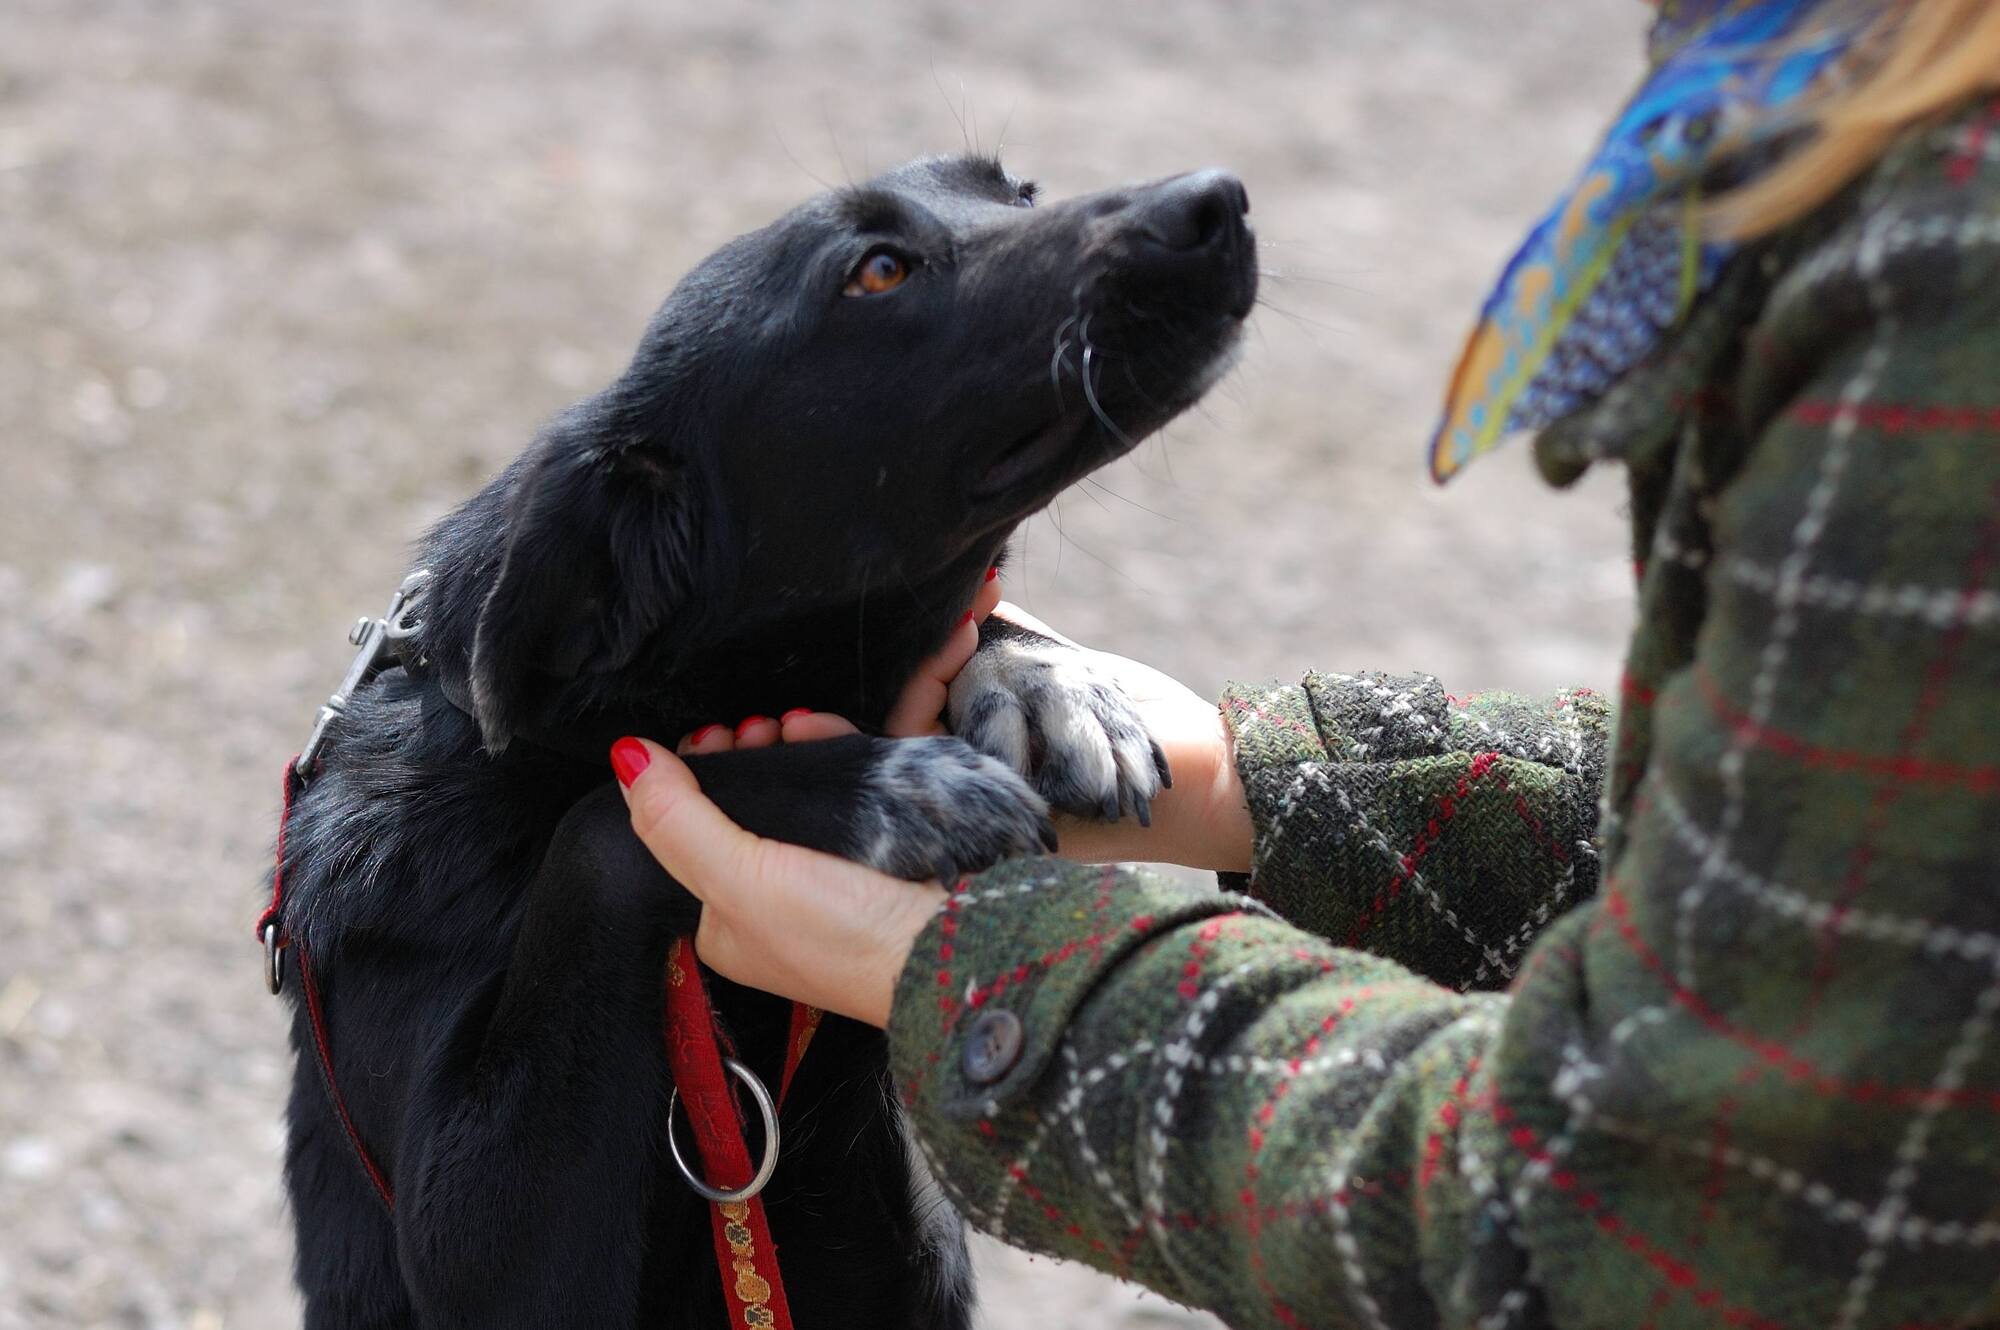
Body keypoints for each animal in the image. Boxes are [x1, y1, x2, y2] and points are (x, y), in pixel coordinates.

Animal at [276, 158, 1256, 1328]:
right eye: (876, 271)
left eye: (1019, 190)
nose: (1216, 199)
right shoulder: (485, 1253)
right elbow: (611, 818)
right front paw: (890, 788)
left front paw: (1045, 683)